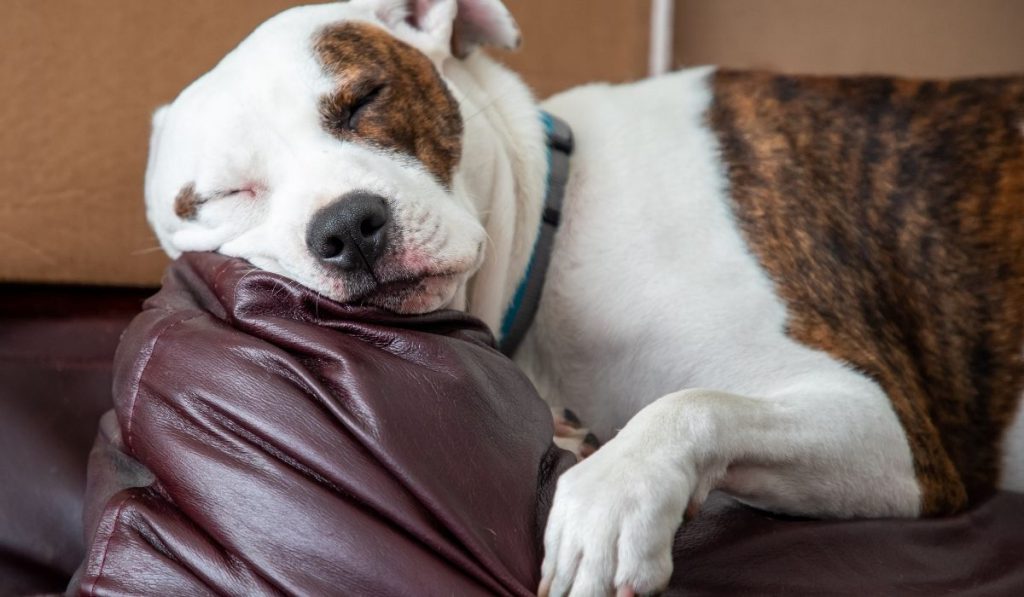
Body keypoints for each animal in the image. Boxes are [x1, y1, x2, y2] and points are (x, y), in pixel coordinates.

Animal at [144, 2, 1024, 593]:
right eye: (222, 195)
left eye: (365, 99)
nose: (348, 226)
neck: (555, 225)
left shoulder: (892, 429)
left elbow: (692, 402)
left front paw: (610, 498)